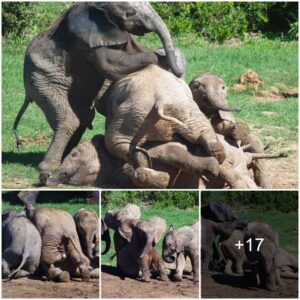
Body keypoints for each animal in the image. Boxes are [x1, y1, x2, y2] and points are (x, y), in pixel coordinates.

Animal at [13, 2, 183, 172]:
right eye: (130, 13)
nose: (179, 74)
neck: (99, 6)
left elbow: (131, 51)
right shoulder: (87, 37)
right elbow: (111, 63)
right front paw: (163, 57)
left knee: (84, 116)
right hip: (43, 81)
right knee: (69, 119)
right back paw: (48, 167)